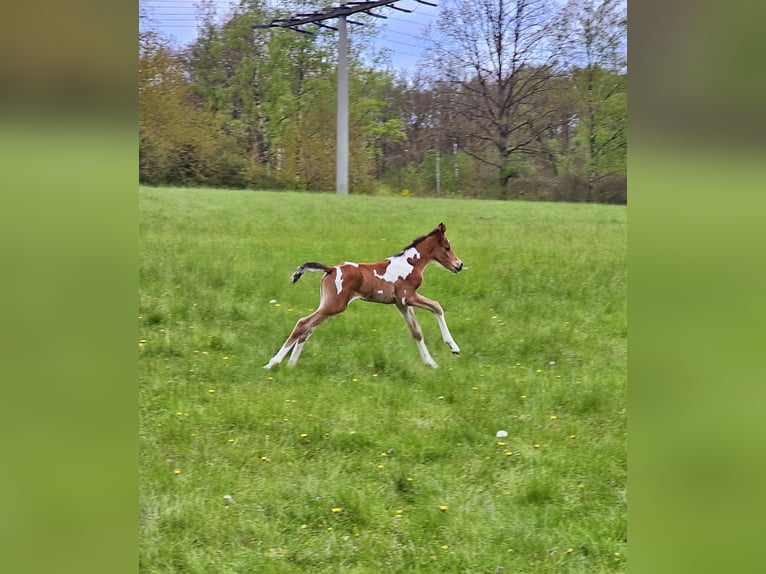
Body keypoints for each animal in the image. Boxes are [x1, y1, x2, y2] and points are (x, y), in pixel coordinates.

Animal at [264, 223, 463, 369]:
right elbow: (437, 306)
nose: (459, 265)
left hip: (327, 305)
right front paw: (453, 347)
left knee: (308, 329)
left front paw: (431, 363)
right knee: (303, 324)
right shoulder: (408, 296)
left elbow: (416, 332)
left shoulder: (401, 304)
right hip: (334, 306)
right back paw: (273, 363)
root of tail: (331, 269)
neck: (410, 263)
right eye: (447, 247)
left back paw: (291, 364)